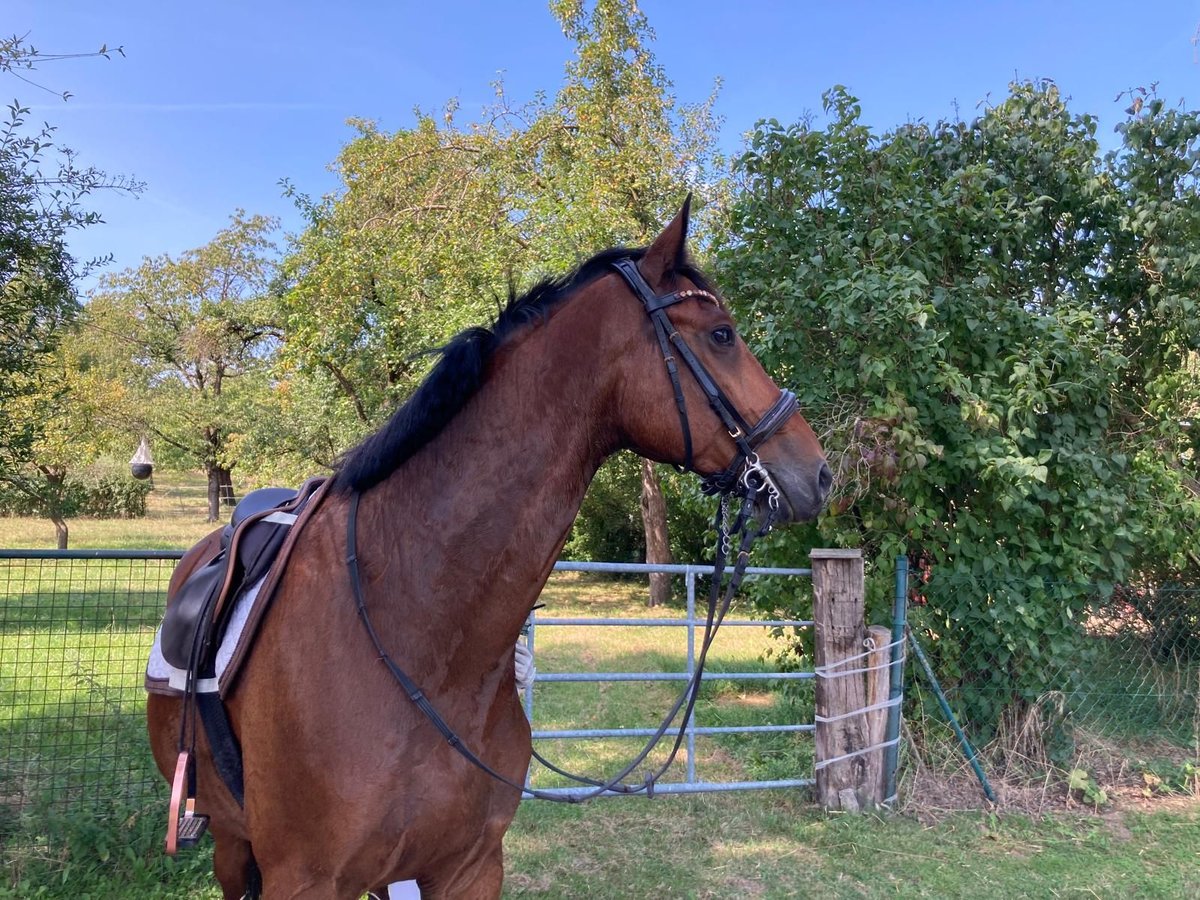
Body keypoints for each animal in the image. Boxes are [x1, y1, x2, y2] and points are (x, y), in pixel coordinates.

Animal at [145, 200, 830, 897]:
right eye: (722, 335)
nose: (820, 473)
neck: (415, 631)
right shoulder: (304, 879)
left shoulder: (470, 867)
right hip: (232, 844)